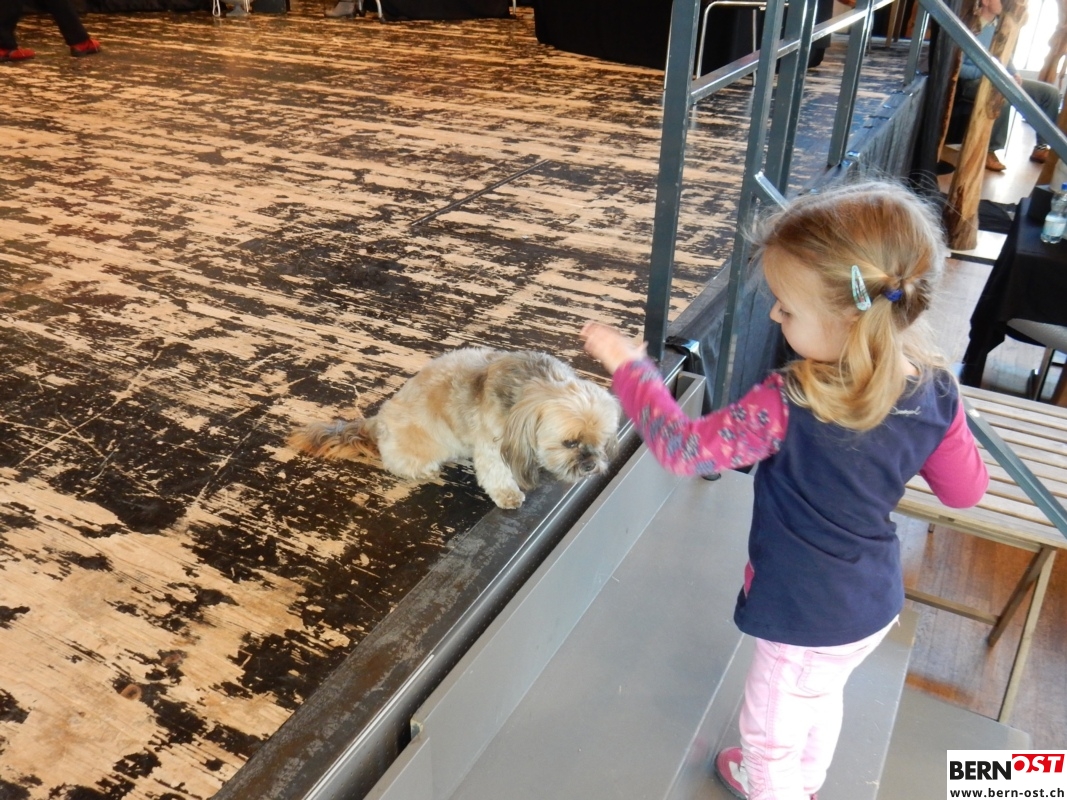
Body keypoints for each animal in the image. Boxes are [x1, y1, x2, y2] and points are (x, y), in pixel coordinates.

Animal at [288, 347, 621, 509]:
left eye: (601, 442)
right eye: (570, 443)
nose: (591, 464)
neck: (530, 388)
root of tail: (377, 422)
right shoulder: (491, 443)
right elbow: (496, 475)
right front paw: (509, 496)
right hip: (418, 455)